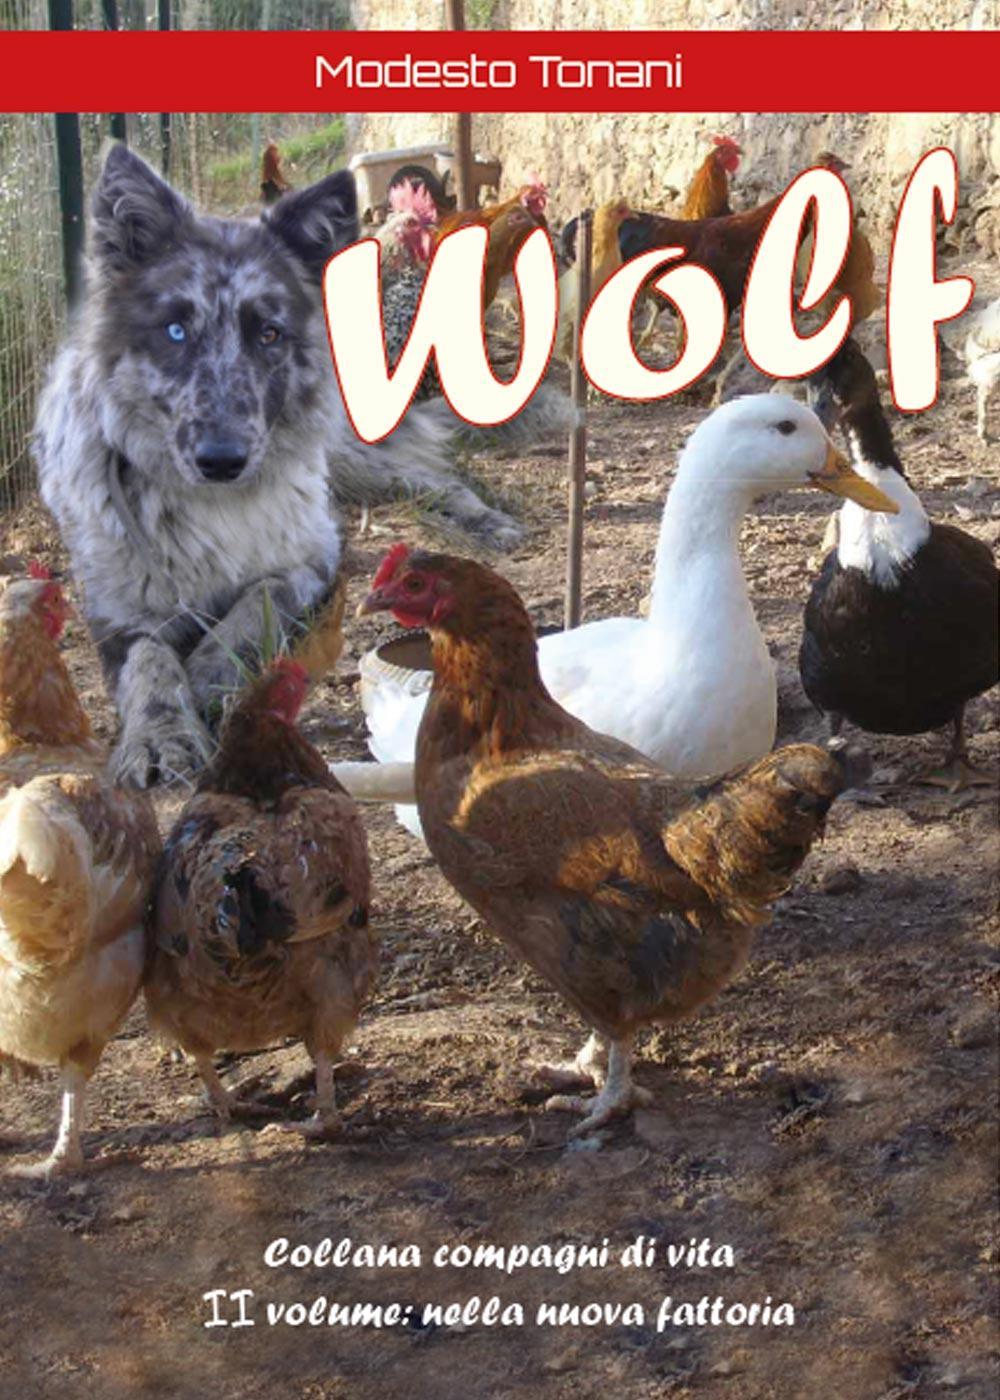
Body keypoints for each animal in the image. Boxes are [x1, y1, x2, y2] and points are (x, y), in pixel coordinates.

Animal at [35, 145, 555, 789]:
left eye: (269, 333)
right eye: (175, 330)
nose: (222, 460)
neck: (214, 508)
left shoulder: (308, 560)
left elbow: (251, 606)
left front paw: (207, 674)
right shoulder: (118, 610)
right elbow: (149, 661)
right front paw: (161, 732)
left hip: (350, 459)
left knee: (438, 481)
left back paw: (486, 520)